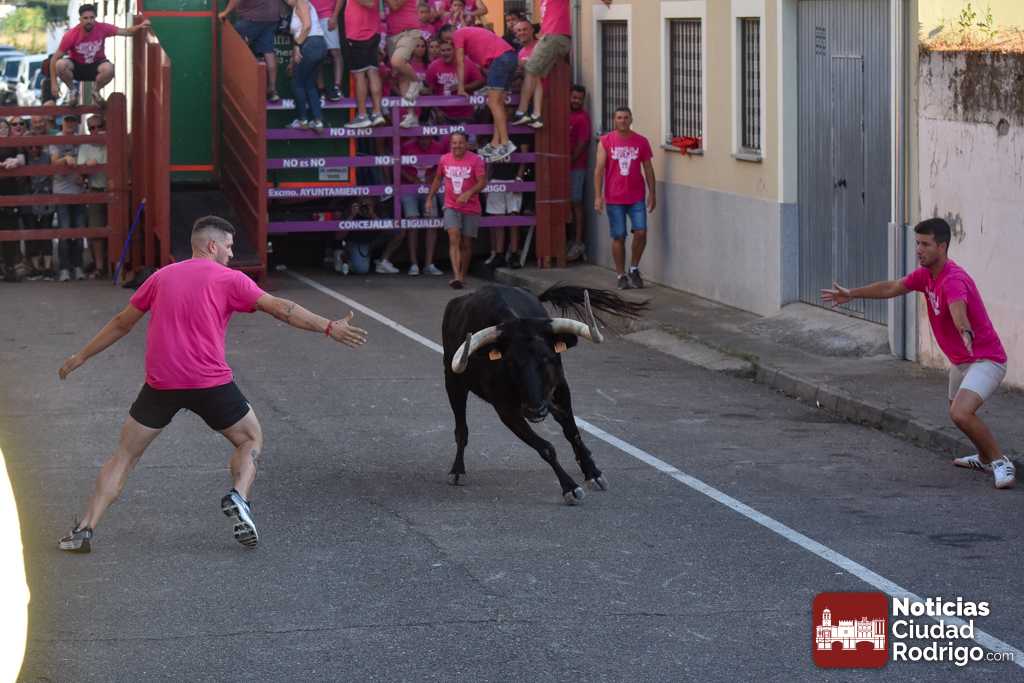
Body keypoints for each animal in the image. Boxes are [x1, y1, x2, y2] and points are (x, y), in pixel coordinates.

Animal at [442, 283, 646, 504]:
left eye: (547, 358)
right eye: (510, 363)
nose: (536, 410)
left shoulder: (560, 389)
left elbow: (572, 432)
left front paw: (593, 473)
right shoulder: (507, 410)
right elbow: (546, 447)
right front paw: (570, 488)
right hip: (453, 383)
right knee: (461, 429)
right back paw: (457, 471)